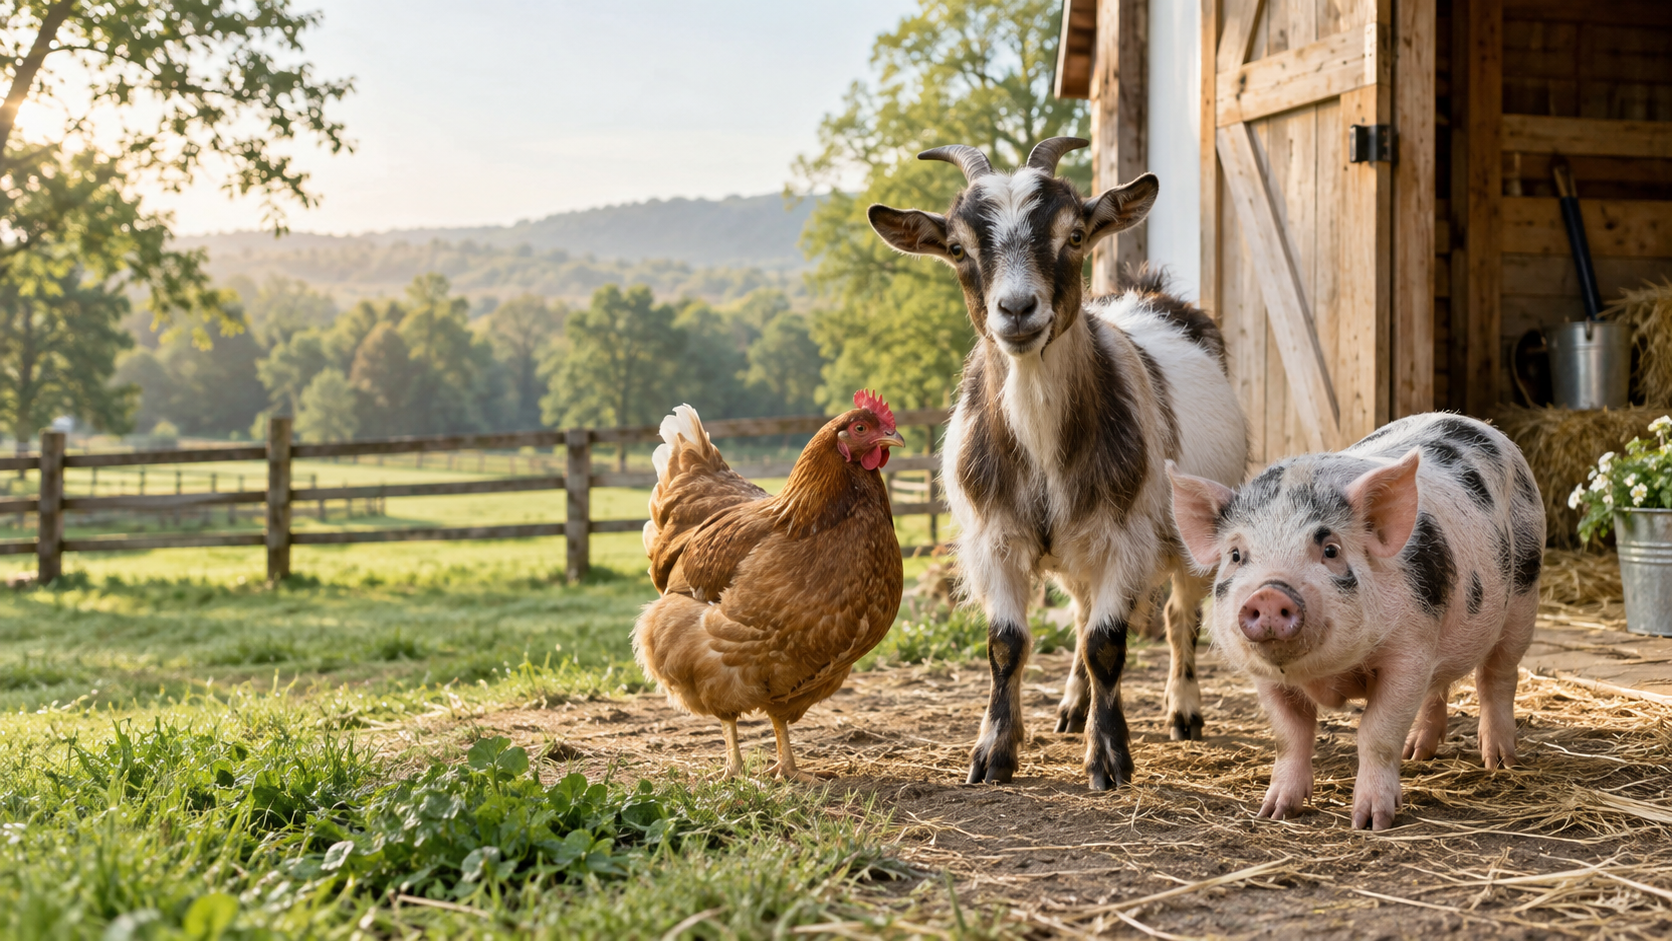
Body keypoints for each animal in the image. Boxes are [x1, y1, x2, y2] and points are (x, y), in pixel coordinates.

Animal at [867, 138, 1248, 790]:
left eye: (1074, 235)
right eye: (957, 248)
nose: (1018, 309)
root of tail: (1149, 292)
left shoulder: (1122, 534)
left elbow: (1107, 645)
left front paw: (1110, 758)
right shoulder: (994, 537)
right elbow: (1008, 643)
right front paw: (994, 752)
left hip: (1190, 534)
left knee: (1178, 616)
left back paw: (1183, 711)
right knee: (1079, 611)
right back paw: (1072, 707)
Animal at [1167, 413, 1543, 830]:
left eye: (1330, 550)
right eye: (1235, 554)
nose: (1268, 594)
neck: (1327, 676)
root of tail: (1478, 423)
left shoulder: (1408, 654)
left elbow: (1376, 731)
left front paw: (1371, 822)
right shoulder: (1266, 679)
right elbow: (1289, 736)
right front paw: (1275, 812)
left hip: (1524, 595)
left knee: (1497, 676)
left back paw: (1500, 762)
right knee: (1439, 685)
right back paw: (1417, 753)